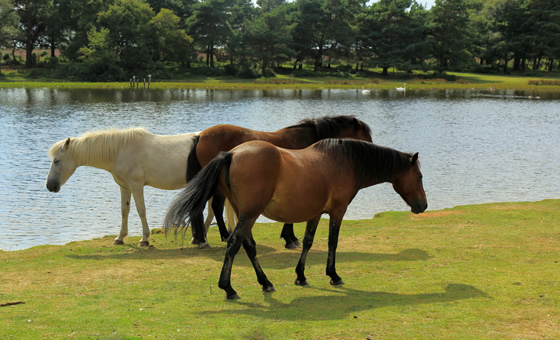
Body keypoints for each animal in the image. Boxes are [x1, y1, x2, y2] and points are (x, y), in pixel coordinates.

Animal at [45, 127, 217, 247]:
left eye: (56, 161)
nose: (49, 185)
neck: (119, 151)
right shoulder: (124, 186)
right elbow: (124, 210)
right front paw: (120, 238)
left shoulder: (136, 185)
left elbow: (141, 210)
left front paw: (144, 239)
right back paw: (198, 238)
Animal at [164, 137, 426, 298]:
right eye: (420, 176)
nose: (422, 205)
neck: (345, 161)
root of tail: (232, 154)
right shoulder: (337, 212)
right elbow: (332, 243)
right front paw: (333, 275)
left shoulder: (315, 214)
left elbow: (308, 242)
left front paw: (301, 276)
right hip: (249, 215)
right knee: (233, 244)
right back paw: (229, 288)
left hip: (244, 215)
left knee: (248, 246)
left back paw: (265, 282)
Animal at [186, 115, 374, 248]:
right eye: (366, 137)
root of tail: (201, 136)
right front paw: (290, 238)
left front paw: (289, 237)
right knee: (212, 207)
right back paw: (218, 237)